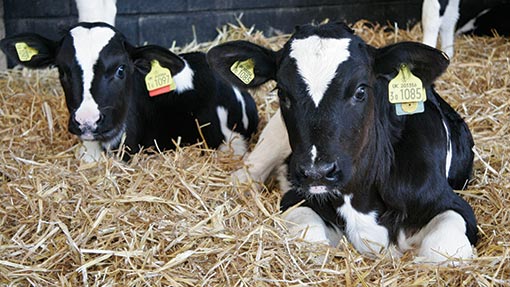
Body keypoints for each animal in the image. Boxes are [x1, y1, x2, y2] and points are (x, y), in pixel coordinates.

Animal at [205, 22, 476, 266]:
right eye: (282, 92)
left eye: (360, 91)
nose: (317, 172)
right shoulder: (296, 198)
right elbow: (311, 241)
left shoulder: (453, 206)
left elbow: (443, 252)